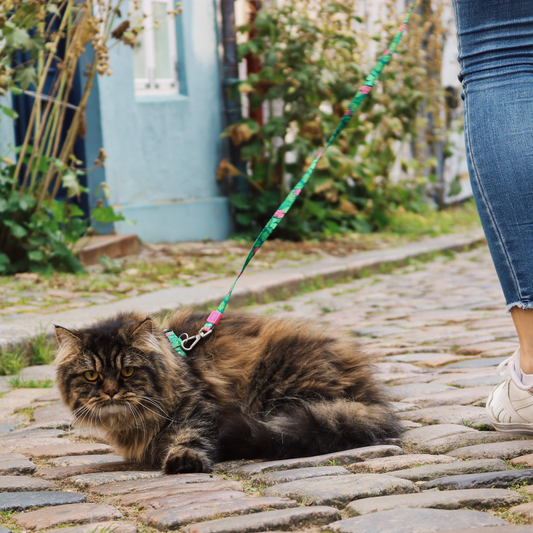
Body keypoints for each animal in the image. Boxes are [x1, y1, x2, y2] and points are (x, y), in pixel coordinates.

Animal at [56, 308, 400, 474]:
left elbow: (191, 436)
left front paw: (183, 460)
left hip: (277, 386)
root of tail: (370, 395)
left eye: (127, 371)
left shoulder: (199, 408)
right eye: (91, 376)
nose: (111, 392)